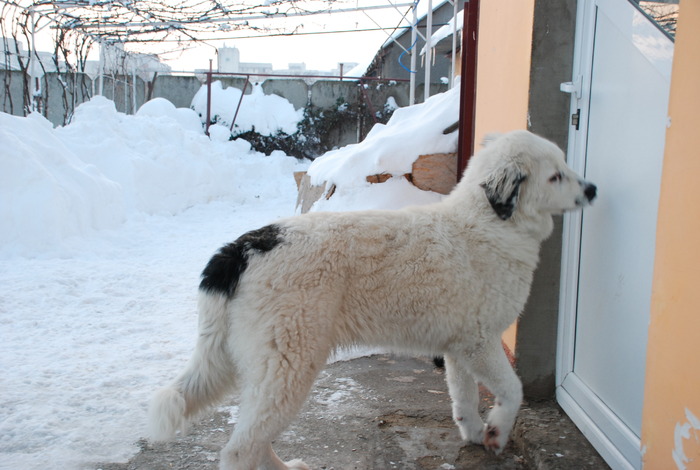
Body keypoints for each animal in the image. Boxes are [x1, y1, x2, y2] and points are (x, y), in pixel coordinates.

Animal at [149, 130, 596, 468]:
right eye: (556, 176)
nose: (592, 189)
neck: (489, 223)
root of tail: (242, 248)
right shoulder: (480, 342)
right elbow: (513, 389)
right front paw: (497, 433)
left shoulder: (457, 347)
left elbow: (463, 397)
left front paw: (472, 433)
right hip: (289, 362)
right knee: (240, 449)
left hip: (256, 365)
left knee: (252, 438)